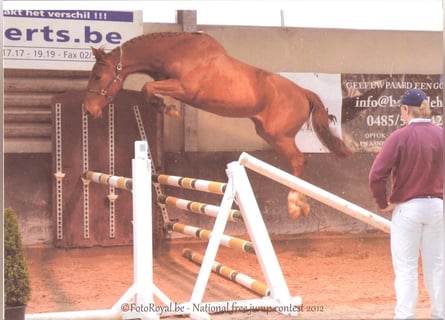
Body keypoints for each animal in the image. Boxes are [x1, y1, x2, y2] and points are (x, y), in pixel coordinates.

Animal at [83, 31, 352, 219]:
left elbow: (147, 88)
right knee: (298, 163)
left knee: (299, 161)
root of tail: (303, 92)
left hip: (279, 136)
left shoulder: (184, 88)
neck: (176, 51)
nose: (89, 109)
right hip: (268, 133)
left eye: (98, 76)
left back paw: (295, 205)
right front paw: (164, 106)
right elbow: (149, 88)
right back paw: (301, 204)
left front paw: (167, 109)